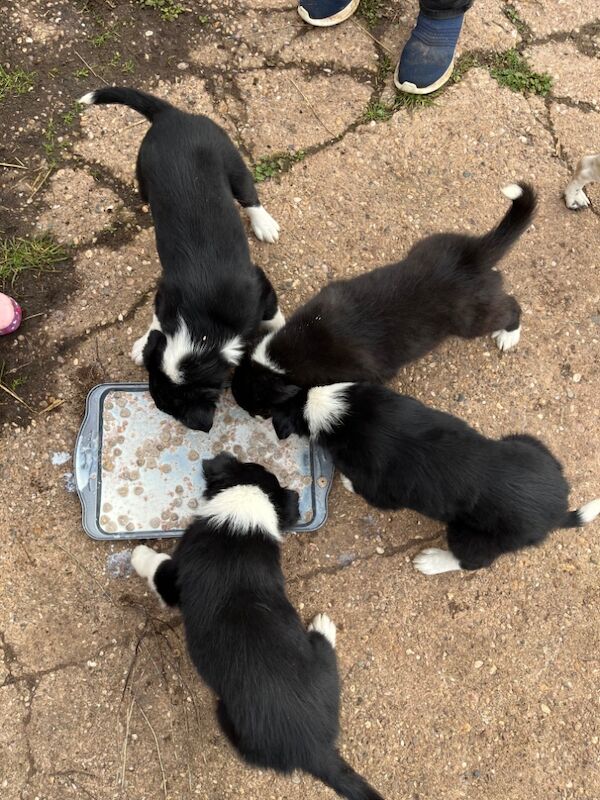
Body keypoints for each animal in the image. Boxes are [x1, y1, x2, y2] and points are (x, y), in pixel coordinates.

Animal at [81, 87, 284, 432]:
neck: (204, 330)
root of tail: (172, 115)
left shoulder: (260, 287)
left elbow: (273, 314)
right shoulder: (166, 296)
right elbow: (157, 320)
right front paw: (142, 344)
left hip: (231, 161)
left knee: (249, 195)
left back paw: (264, 224)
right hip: (143, 174)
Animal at [131, 454, 384, 800]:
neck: (244, 506)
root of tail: (315, 750)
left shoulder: (173, 577)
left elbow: (155, 566)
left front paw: (137, 553)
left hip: (228, 718)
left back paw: (322, 628)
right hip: (329, 685)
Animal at [232, 182, 536, 418]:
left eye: (259, 405)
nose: (256, 416)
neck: (292, 348)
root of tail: (473, 257)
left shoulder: (365, 373)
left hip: (470, 319)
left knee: (509, 307)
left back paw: (509, 335)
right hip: (430, 245)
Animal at [272, 384, 600, 572]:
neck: (337, 409)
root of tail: (558, 512)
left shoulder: (382, 489)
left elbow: (366, 489)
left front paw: (348, 482)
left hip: (473, 534)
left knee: (472, 561)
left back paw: (432, 561)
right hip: (527, 442)